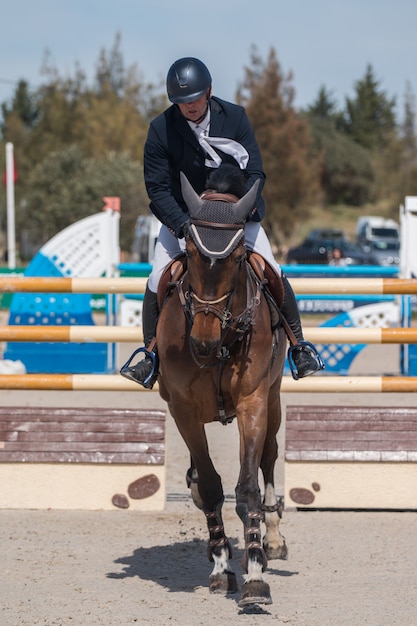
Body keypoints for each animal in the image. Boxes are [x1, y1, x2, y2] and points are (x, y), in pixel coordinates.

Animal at [154, 169, 288, 604]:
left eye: (236, 256)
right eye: (191, 253)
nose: (203, 343)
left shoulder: (253, 402)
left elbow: (246, 490)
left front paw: (256, 572)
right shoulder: (182, 409)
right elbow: (212, 488)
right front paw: (220, 565)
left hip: (274, 402)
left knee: (268, 459)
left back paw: (273, 538)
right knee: (201, 477)